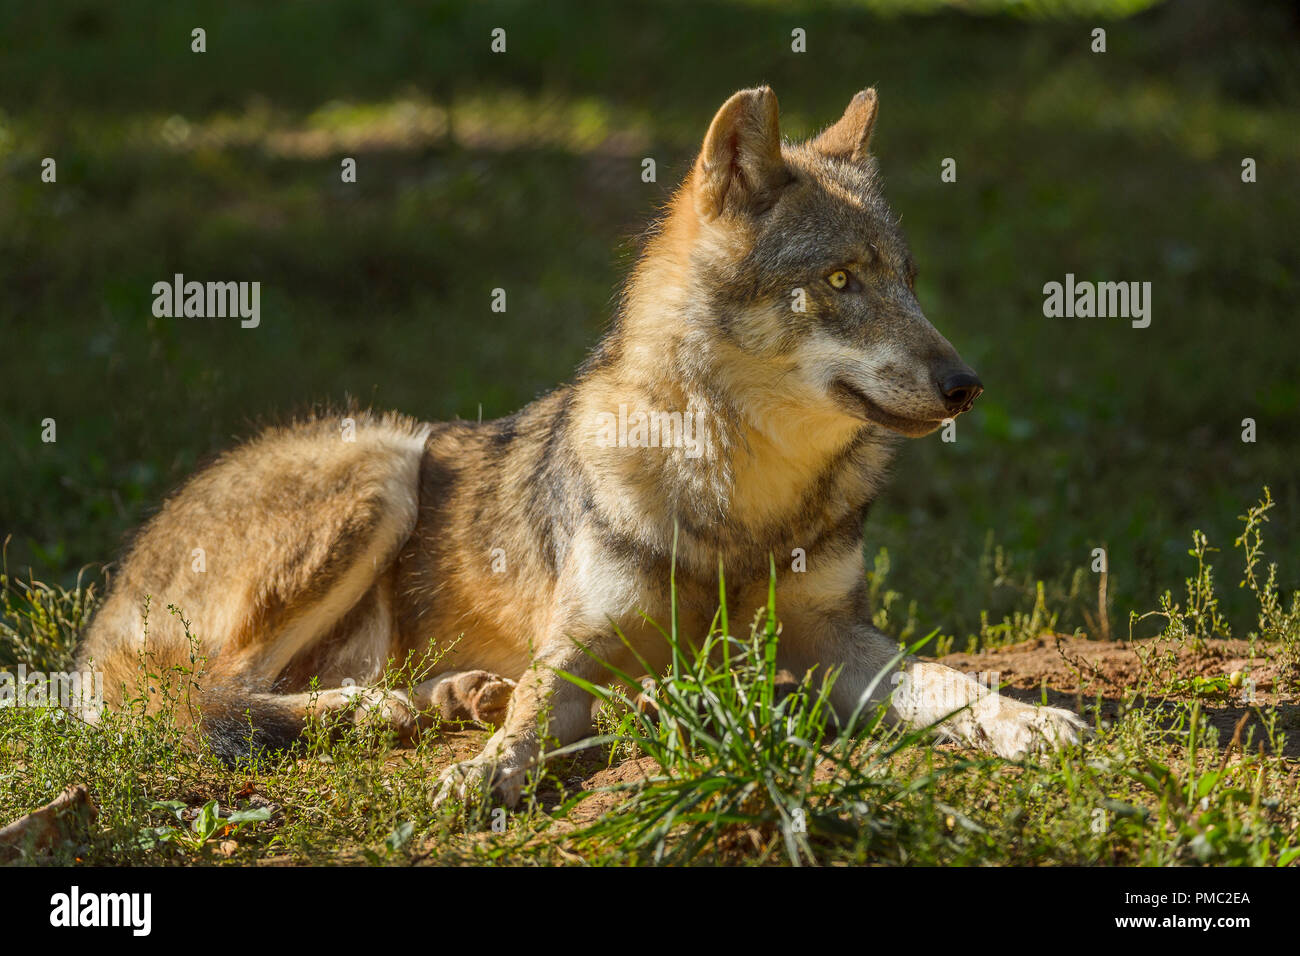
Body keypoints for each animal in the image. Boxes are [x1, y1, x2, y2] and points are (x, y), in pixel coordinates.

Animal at [73, 85, 1086, 806]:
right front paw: (483, 775)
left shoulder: (832, 637)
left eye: (910, 282)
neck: (742, 503)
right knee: (206, 701)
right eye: (841, 280)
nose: (966, 384)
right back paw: (387, 709)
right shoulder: (574, 651)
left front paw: (1031, 723)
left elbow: (947, 680)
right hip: (385, 461)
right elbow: (527, 723)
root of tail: (95, 627)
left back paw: (445, 697)